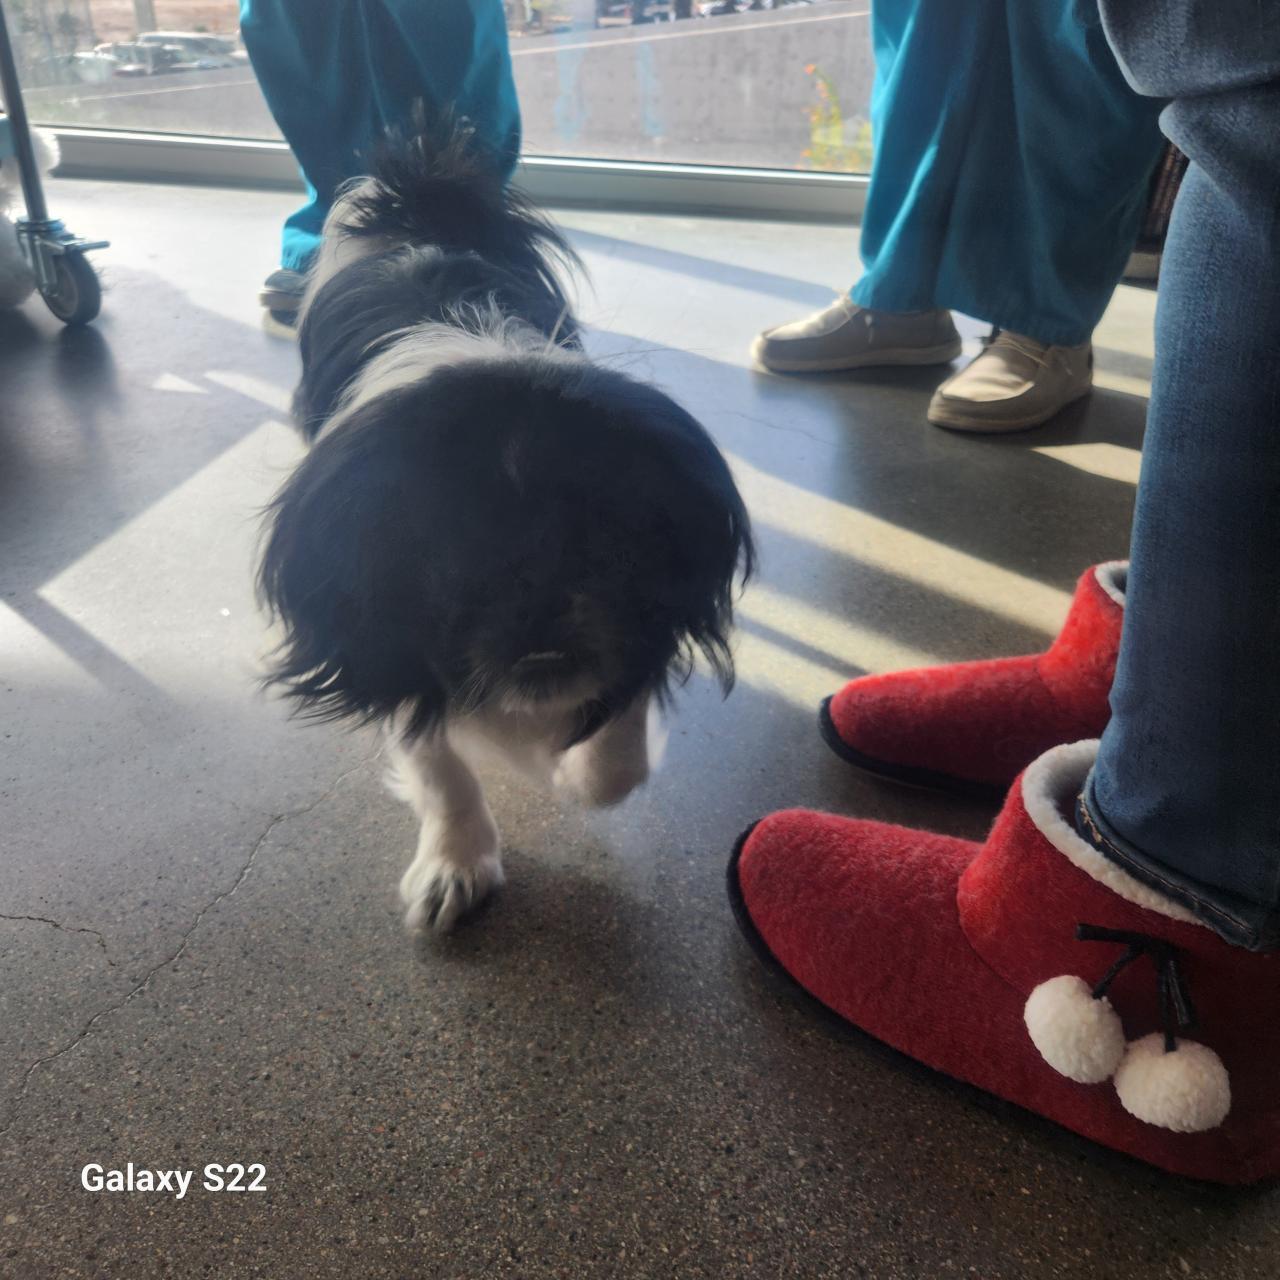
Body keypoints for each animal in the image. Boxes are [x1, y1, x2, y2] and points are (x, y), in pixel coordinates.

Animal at [258, 117, 754, 933]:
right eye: (441, 552)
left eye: (610, 539)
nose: (539, 600)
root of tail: (422, 209)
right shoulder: (396, 649)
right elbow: (441, 770)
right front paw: (454, 866)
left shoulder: (636, 635)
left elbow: (615, 757)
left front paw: (573, 769)